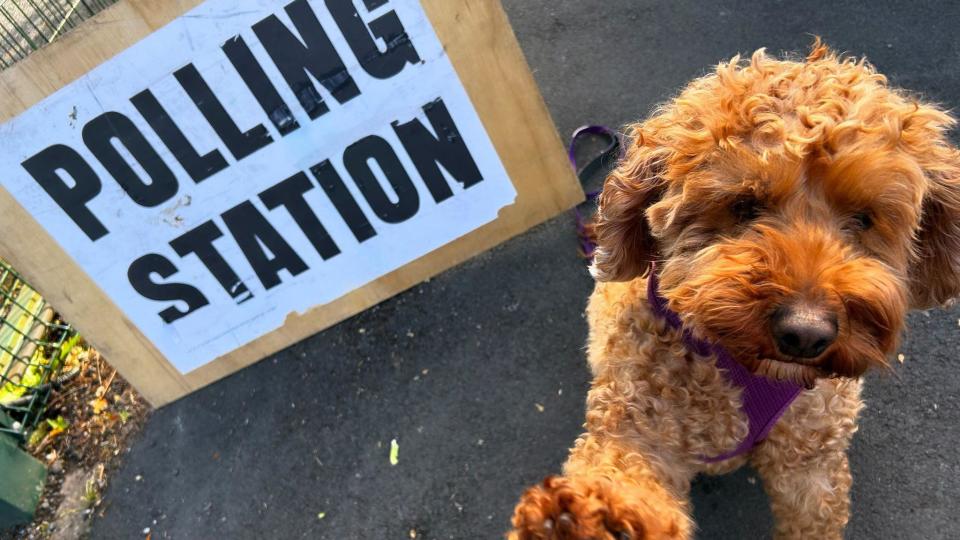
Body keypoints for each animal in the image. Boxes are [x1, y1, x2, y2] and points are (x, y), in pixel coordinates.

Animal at [506, 41, 956, 540]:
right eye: (743, 205)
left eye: (863, 218)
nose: (805, 333)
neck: (743, 368)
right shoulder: (639, 427)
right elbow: (622, 472)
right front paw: (585, 520)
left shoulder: (811, 462)